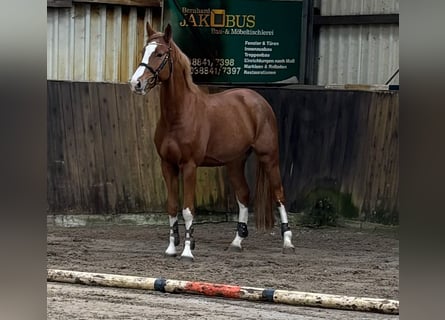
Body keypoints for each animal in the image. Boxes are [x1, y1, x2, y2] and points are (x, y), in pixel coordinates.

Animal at [129, 23, 294, 260]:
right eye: (144, 51)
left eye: (159, 54)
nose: (136, 83)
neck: (179, 115)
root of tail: (257, 100)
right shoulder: (167, 165)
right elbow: (172, 206)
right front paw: (171, 248)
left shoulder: (189, 166)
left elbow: (188, 210)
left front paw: (187, 251)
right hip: (234, 162)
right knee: (243, 195)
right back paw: (237, 241)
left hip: (269, 157)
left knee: (279, 194)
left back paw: (288, 242)